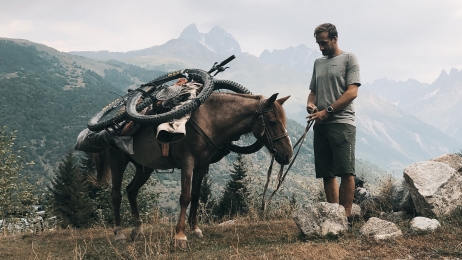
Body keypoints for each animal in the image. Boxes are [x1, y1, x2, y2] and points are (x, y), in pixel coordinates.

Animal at [94, 92, 292, 248]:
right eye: (272, 122)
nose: (288, 155)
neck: (208, 119)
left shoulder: (202, 165)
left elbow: (196, 195)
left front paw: (195, 229)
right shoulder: (187, 163)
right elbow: (185, 197)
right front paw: (180, 236)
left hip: (144, 168)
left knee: (132, 191)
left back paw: (137, 230)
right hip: (118, 162)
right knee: (116, 195)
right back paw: (119, 233)